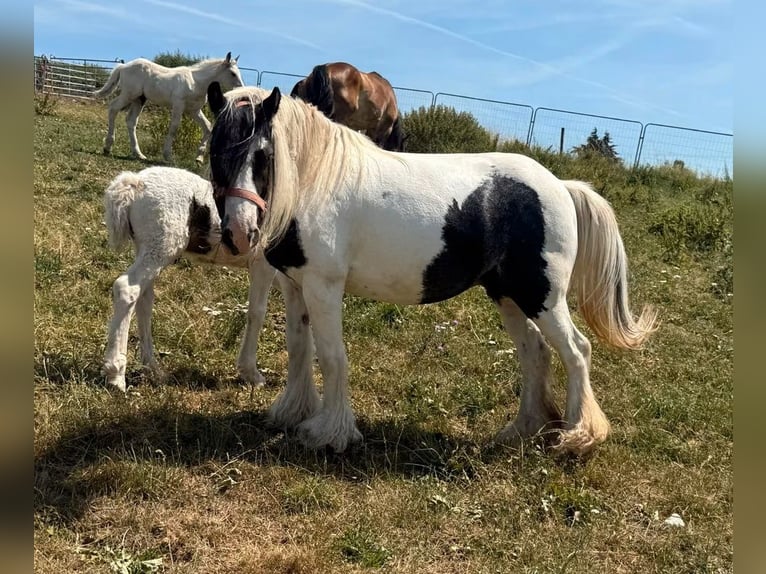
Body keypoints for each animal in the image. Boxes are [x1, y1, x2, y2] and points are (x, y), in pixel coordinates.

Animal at [93, 53, 244, 164]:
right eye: (232, 73)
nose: (241, 89)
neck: (196, 82)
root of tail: (123, 66)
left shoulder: (194, 110)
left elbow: (207, 127)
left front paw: (199, 158)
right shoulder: (178, 105)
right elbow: (174, 128)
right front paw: (168, 156)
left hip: (139, 99)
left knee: (131, 121)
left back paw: (138, 154)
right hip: (129, 94)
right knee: (113, 108)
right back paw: (107, 147)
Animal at [101, 165, 285, 392]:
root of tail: (135, 182)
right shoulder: (263, 265)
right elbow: (257, 312)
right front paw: (251, 373)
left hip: (149, 249)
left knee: (143, 299)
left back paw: (153, 369)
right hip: (162, 248)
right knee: (127, 289)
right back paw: (116, 374)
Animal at [206, 83, 658, 457]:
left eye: (263, 155)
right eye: (216, 149)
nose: (239, 232)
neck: (316, 181)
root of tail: (562, 186)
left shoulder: (324, 287)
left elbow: (333, 356)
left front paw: (332, 434)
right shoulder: (295, 285)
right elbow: (300, 348)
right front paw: (293, 412)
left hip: (542, 296)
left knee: (577, 351)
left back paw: (579, 436)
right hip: (507, 295)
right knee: (535, 352)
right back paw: (521, 430)